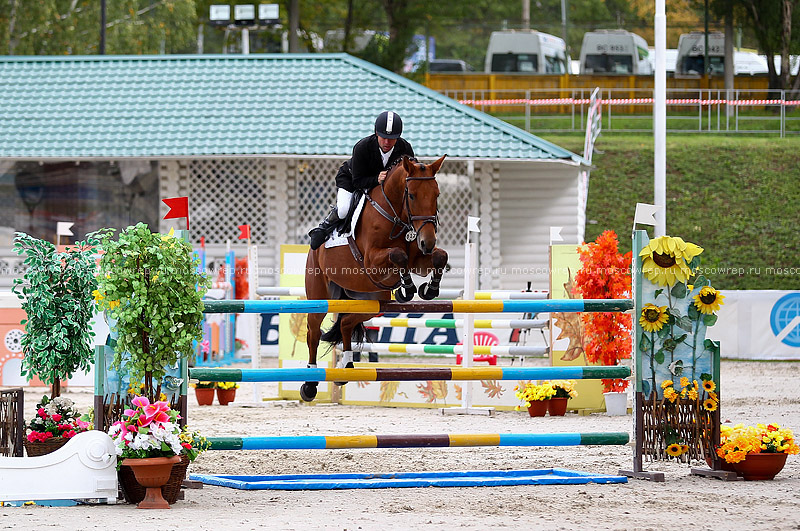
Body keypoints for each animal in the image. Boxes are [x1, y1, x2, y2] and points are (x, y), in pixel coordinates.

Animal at [302, 156, 450, 402]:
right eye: (411, 195)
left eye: (436, 194)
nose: (427, 242)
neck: (396, 215)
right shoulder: (372, 261)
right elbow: (397, 255)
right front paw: (407, 288)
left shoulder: (419, 259)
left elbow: (440, 256)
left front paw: (428, 289)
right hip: (320, 297)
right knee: (313, 333)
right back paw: (309, 384)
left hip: (371, 301)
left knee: (346, 322)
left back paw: (346, 367)